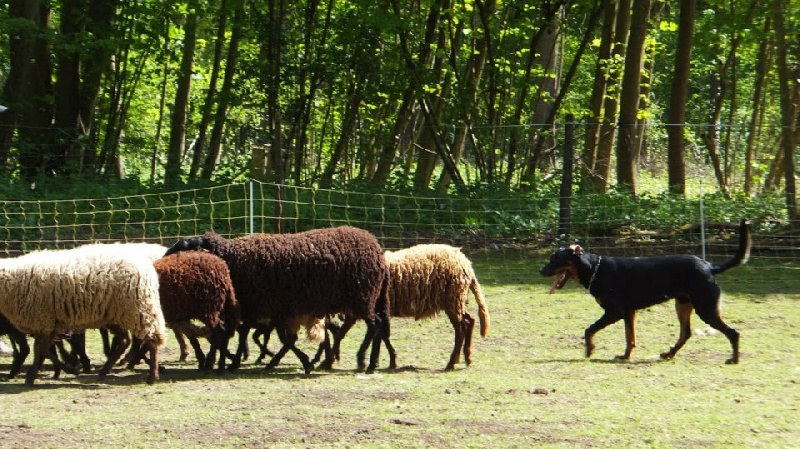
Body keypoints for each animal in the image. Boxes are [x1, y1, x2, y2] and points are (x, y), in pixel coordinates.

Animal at [0, 243, 167, 384]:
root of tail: (146, 267)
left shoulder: (43, 320)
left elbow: (39, 350)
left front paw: (34, 376)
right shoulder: (51, 324)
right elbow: (45, 350)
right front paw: (70, 368)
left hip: (138, 309)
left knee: (151, 340)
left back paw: (152, 376)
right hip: (114, 315)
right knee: (125, 340)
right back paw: (104, 371)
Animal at [166, 226, 394, 372]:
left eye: (183, 247)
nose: (163, 262)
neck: (232, 258)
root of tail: (378, 251)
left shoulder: (264, 306)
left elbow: (276, 338)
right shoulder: (262, 308)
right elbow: (249, 335)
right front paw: (238, 361)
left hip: (363, 296)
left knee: (374, 325)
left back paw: (362, 360)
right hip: (369, 297)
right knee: (377, 326)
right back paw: (370, 362)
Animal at [540, 219, 752, 362]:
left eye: (555, 258)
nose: (540, 271)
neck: (594, 269)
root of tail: (710, 267)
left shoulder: (614, 312)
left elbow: (589, 329)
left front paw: (590, 350)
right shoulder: (628, 312)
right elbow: (630, 338)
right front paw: (625, 356)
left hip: (705, 308)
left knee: (733, 333)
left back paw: (734, 359)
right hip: (683, 305)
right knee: (686, 333)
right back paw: (669, 353)